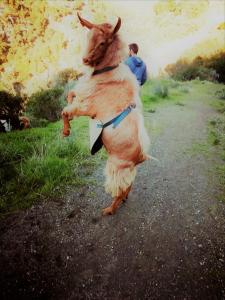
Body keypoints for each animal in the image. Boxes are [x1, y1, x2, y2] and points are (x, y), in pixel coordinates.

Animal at [61, 13, 150, 216]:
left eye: (102, 42)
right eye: (88, 36)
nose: (85, 60)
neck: (106, 73)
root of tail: (141, 157)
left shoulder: (87, 107)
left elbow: (66, 111)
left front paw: (66, 131)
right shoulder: (82, 95)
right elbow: (70, 96)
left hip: (116, 167)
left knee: (120, 188)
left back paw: (110, 209)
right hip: (125, 169)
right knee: (128, 185)